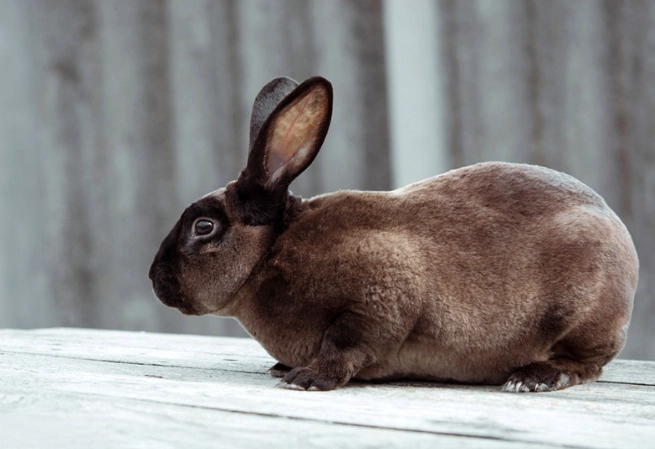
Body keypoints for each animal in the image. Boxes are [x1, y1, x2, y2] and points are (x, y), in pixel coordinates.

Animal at [149, 76, 639, 393]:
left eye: (204, 227)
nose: (154, 278)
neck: (271, 254)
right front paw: (282, 367)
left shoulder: (378, 295)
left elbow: (348, 343)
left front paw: (305, 378)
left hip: (583, 315)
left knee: (585, 362)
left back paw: (531, 378)